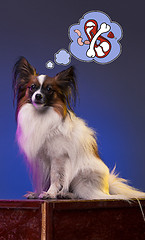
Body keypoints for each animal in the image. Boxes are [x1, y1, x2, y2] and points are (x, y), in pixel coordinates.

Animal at [12, 57, 145, 200]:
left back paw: (66, 194)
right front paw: (37, 193)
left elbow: (55, 177)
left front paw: (50, 193)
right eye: (32, 87)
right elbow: (43, 179)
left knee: (85, 195)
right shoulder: (40, 160)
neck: (41, 116)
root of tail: (107, 187)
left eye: (49, 89)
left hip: (81, 178)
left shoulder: (57, 157)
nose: (38, 96)